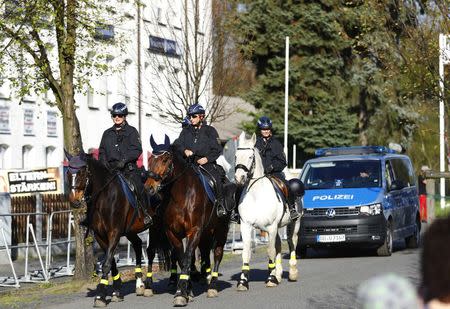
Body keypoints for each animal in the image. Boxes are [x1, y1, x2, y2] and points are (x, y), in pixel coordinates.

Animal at [64, 151, 168, 306]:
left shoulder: (114, 233)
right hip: (130, 230)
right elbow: (110, 261)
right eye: (68, 173)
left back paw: (150, 285)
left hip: (156, 227)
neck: (103, 198)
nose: (74, 201)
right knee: (138, 245)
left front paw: (100, 295)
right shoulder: (101, 236)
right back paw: (139, 283)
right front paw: (117, 290)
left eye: (82, 173)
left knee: (150, 251)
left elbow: (107, 263)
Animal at [146, 135, 234, 306]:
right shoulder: (172, 233)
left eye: (165, 159)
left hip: (221, 230)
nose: (149, 187)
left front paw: (181, 293)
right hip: (205, 233)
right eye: (150, 159)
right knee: (204, 253)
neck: (181, 196)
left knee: (217, 254)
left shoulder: (194, 231)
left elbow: (187, 257)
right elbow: (181, 258)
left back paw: (212, 286)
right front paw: (187, 291)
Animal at [234, 131, 300, 290]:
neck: (256, 195)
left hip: (294, 225)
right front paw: (243, 281)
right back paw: (278, 273)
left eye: (250, 156)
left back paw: (292, 272)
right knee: (278, 245)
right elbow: (246, 252)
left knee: (291, 243)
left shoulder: (271, 227)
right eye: (236, 156)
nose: (239, 178)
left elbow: (270, 251)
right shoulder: (246, 226)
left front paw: (271, 279)